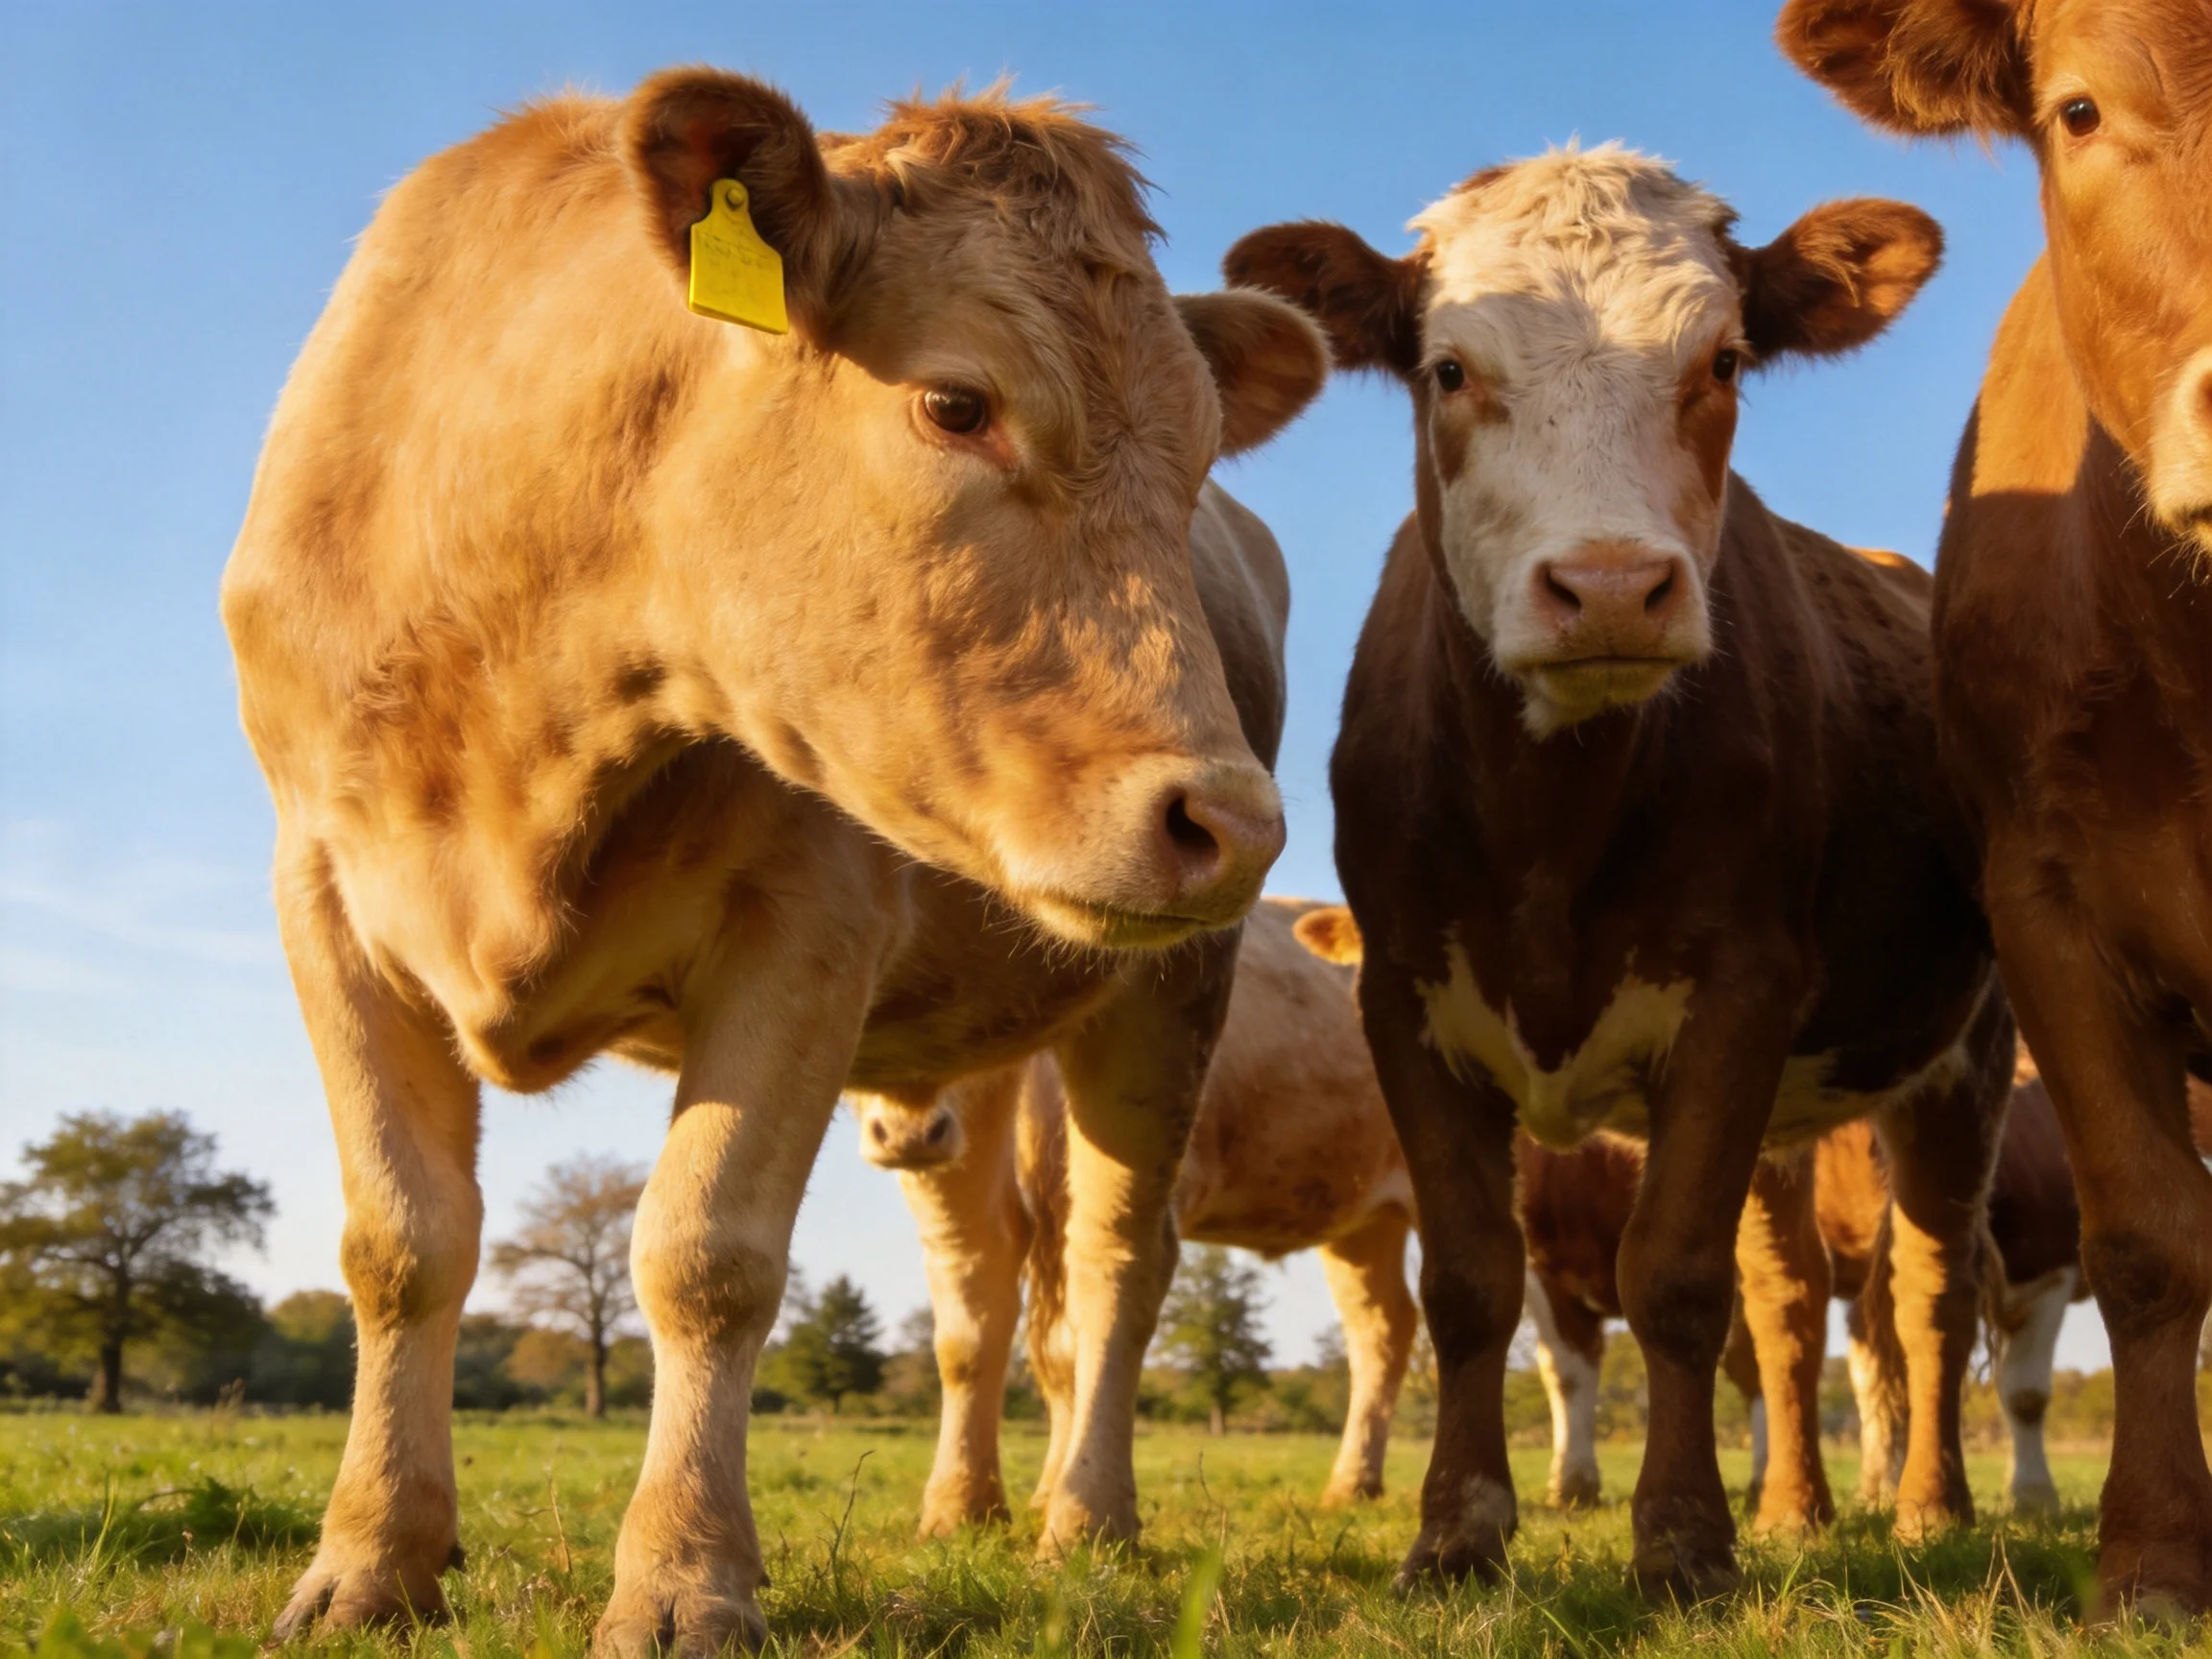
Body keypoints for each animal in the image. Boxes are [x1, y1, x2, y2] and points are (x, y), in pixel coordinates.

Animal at [220, 72, 1329, 1653]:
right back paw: (961, 1510)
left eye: (1193, 468)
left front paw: (684, 1580)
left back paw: (1086, 1522)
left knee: (1119, 1261)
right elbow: (403, 1240)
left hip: (1167, 995)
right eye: (955, 403)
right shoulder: (322, 891)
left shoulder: (808, 924)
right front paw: (373, 1559)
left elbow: (707, 1255)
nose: (1232, 822)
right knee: (988, 1284)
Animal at [851, 896, 1418, 1529]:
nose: (909, 1134)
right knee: (1382, 1329)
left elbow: (1076, 1341)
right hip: (1362, 1223)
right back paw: (1353, 1485)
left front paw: (1058, 1494)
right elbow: (1014, 1347)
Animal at [1227, 146, 2014, 1597]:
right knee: (1792, 1299)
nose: (1604, 587)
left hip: (1965, 1054)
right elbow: (1472, 1281)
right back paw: (1797, 1511)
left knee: (1928, 1289)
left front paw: (1686, 1543)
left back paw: (1929, 1508)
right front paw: (1456, 1534)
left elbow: (1679, 1279)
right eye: (1449, 369)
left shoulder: (1740, 993)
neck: (1553, 825)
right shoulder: (1403, 1001)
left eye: (1724, 360)